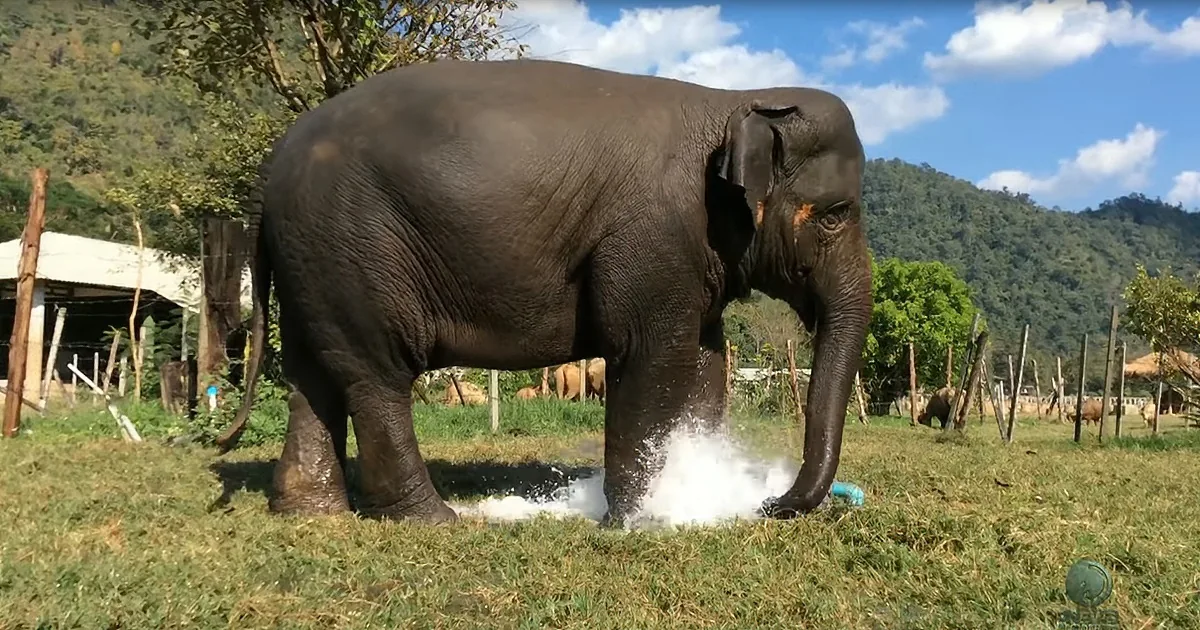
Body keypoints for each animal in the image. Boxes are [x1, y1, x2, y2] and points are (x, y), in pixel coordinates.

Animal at [215, 57, 873, 527]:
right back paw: (433, 520)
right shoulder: (653, 234)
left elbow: (705, 364)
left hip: (314, 261)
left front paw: (698, 494)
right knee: (376, 377)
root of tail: (270, 172)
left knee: (312, 376)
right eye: (837, 214)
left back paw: (311, 514)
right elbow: (649, 355)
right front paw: (641, 521)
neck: (733, 99)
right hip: (354, 248)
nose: (771, 502)